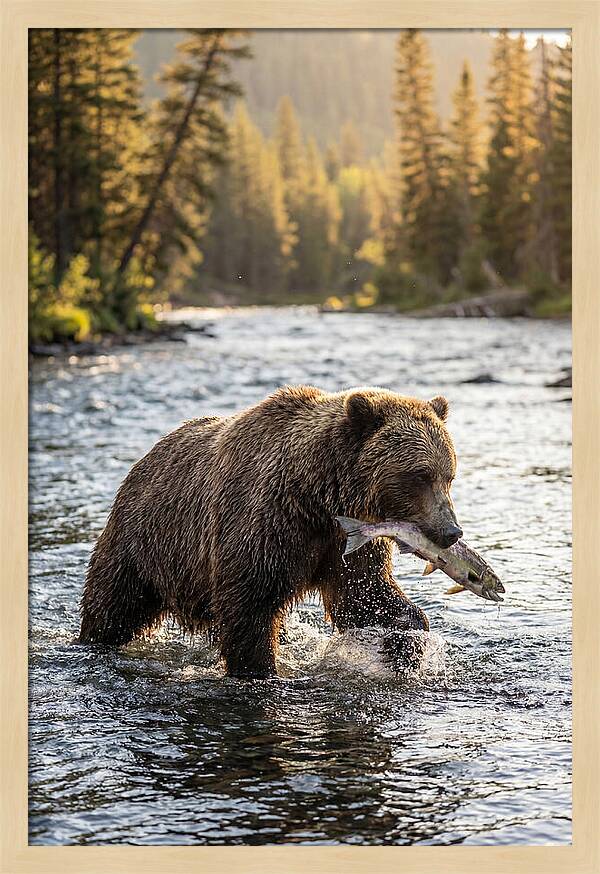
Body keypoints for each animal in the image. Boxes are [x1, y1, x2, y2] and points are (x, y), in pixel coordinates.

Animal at [79, 386, 462, 678]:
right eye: (420, 475)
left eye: (449, 475)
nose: (451, 531)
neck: (318, 496)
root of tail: (144, 459)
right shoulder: (266, 524)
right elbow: (249, 606)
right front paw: (259, 669)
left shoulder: (346, 540)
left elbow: (364, 594)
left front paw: (407, 641)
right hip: (144, 543)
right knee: (113, 605)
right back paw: (92, 641)